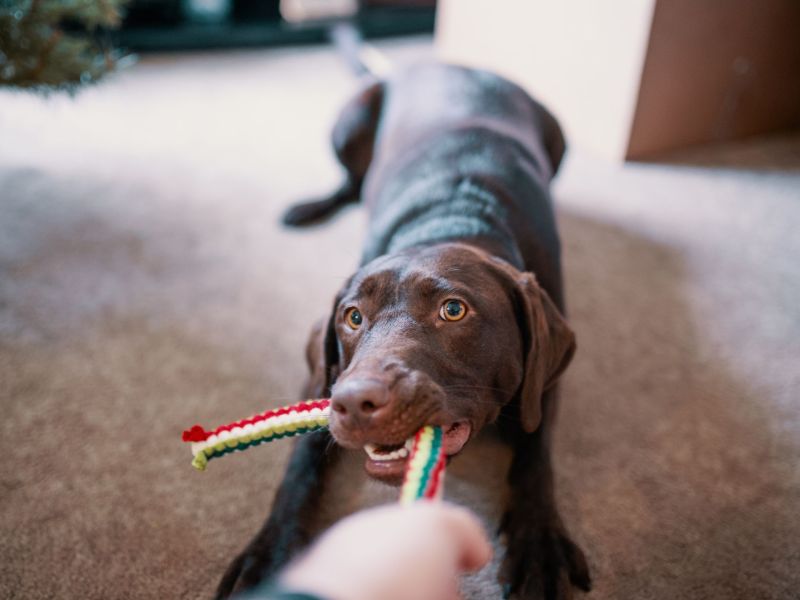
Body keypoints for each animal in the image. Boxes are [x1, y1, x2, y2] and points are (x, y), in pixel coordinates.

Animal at [216, 62, 592, 600]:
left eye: (453, 310)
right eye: (353, 316)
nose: (356, 402)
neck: (453, 220)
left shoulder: (543, 382)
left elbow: (535, 455)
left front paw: (538, 545)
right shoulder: (323, 378)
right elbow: (299, 464)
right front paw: (268, 554)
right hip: (350, 119)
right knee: (351, 184)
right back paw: (309, 207)